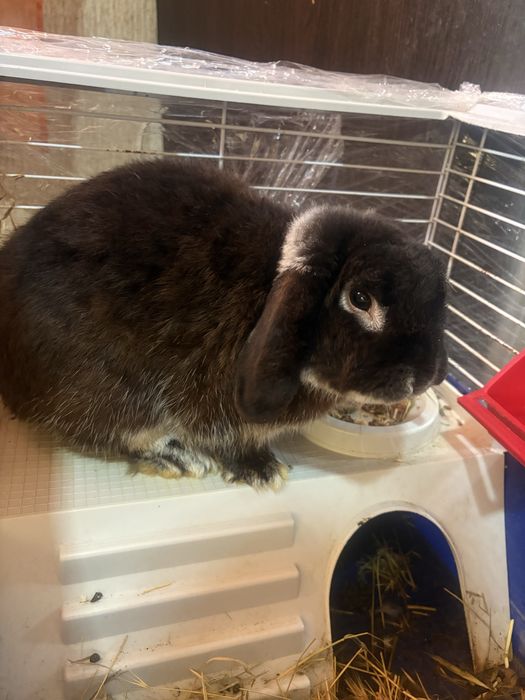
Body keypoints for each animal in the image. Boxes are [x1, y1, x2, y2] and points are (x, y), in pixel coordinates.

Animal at [0, 159, 448, 488]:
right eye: (360, 299)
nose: (422, 378)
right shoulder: (210, 402)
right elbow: (226, 437)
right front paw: (263, 470)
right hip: (109, 389)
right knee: (112, 431)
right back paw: (176, 457)